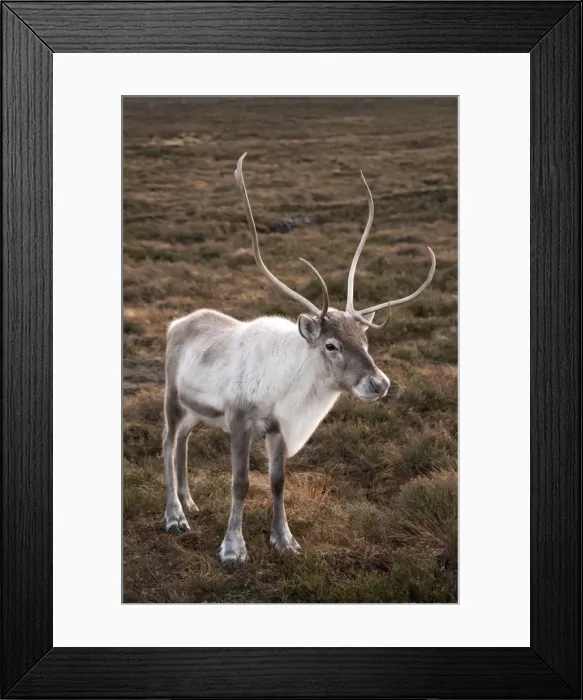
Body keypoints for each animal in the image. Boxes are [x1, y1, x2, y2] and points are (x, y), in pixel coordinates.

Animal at [162, 153, 436, 565]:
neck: (288, 387)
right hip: (173, 399)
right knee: (167, 442)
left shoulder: (278, 429)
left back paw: (189, 504)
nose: (379, 383)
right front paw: (233, 548)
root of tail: (177, 323)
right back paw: (174, 517)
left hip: (197, 410)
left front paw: (284, 540)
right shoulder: (240, 422)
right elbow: (240, 483)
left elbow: (278, 482)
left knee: (183, 442)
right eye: (331, 345)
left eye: (364, 338)